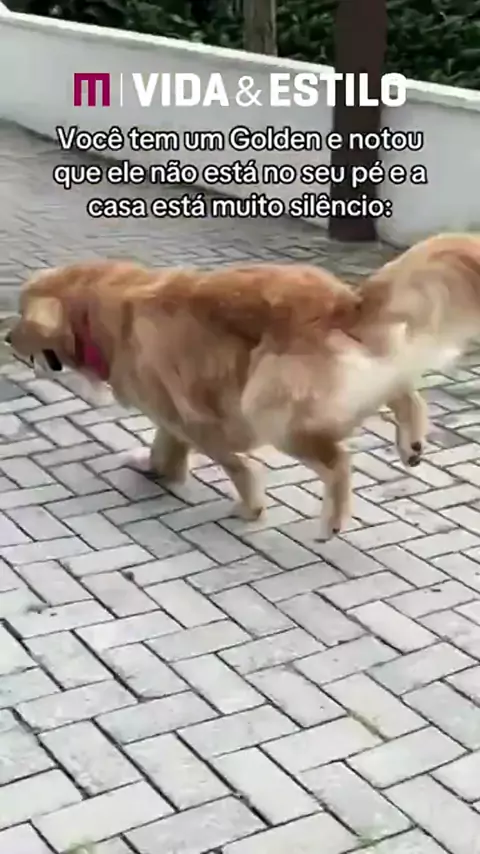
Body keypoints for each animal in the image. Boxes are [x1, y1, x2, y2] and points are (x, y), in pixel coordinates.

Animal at [9, 239, 472, 539]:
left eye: (22, 316)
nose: (7, 339)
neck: (101, 314)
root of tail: (342, 303)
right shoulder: (170, 411)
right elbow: (165, 446)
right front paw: (155, 467)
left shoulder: (196, 418)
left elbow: (235, 465)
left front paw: (250, 507)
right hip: (362, 372)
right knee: (403, 391)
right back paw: (411, 442)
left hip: (267, 406)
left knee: (338, 462)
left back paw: (333, 520)